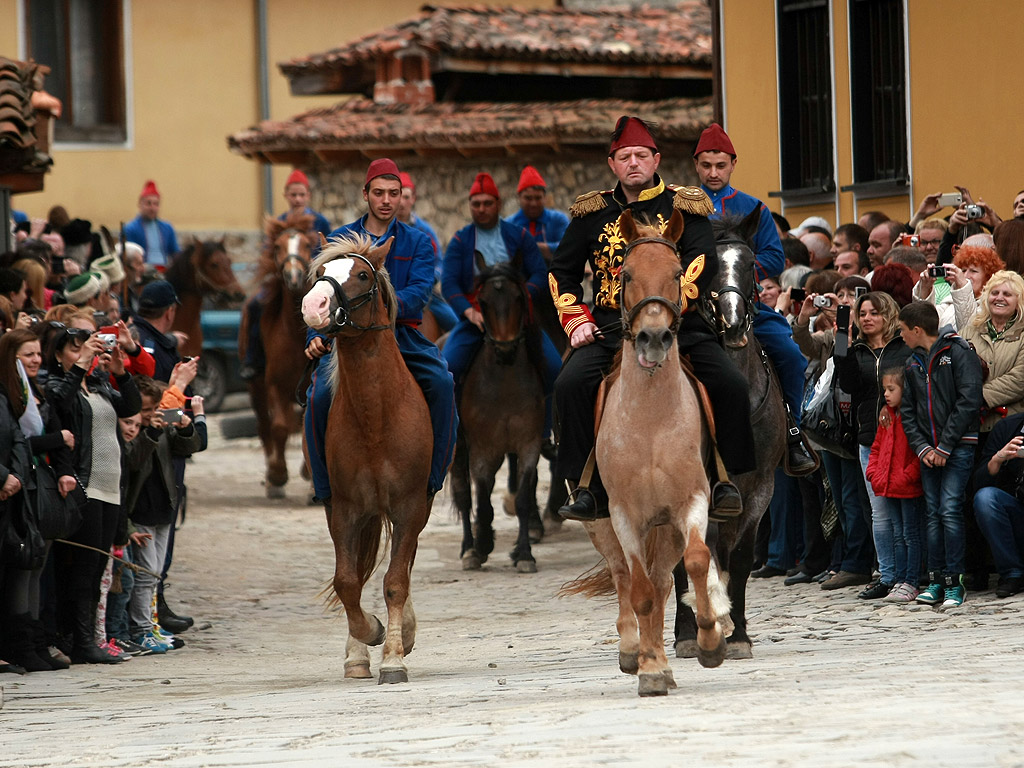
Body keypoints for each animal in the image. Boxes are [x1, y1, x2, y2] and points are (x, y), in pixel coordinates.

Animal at [240, 214, 317, 499]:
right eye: (277, 247)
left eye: (307, 244)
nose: (293, 276)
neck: (294, 332)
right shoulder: (275, 384)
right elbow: (280, 428)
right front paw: (277, 474)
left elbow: (307, 426)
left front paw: (310, 477)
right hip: (256, 388)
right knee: (264, 427)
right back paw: (273, 481)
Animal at [301, 230, 434, 684]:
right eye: (321, 272)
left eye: (362, 274)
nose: (313, 306)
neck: (377, 416)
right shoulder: (343, 509)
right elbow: (347, 582)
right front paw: (368, 635)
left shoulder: (410, 506)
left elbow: (395, 581)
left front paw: (393, 655)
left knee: (404, 567)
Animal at [454, 256, 548, 573]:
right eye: (482, 302)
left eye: (519, 298)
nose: (506, 348)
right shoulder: (482, 450)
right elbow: (482, 501)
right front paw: (481, 545)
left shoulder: (528, 444)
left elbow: (522, 498)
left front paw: (524, 554)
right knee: (464, 495)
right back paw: (470, 547)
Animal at [565, 208, 733, 696]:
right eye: (627, 273)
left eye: (679, 273)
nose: (654, 337)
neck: (651, 419)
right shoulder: (625, 513)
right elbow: (637, 589)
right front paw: (650, 669)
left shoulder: (690, 502)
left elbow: (694, 563)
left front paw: (710, 639)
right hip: (601, 522)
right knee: (626, 577)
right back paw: (633, 651)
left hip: (668, 526)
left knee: (662, 583)